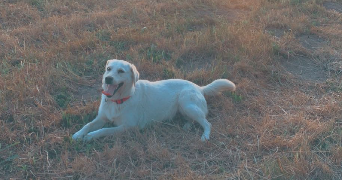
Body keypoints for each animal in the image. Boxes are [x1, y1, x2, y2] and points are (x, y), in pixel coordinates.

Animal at [72, 59, 235, 141]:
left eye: (121, 71)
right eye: (108, 69)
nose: (108, 78)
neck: (120, 99)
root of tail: (199, 87)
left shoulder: (128, 127)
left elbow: (105, 129)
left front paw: (90, 136)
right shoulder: (101, 118)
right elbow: (88, 124)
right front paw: (79, 134)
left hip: (186, 103)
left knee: (207, 123)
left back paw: (205, 136)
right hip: (184, 108)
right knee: (193, 120)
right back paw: (187, 126)